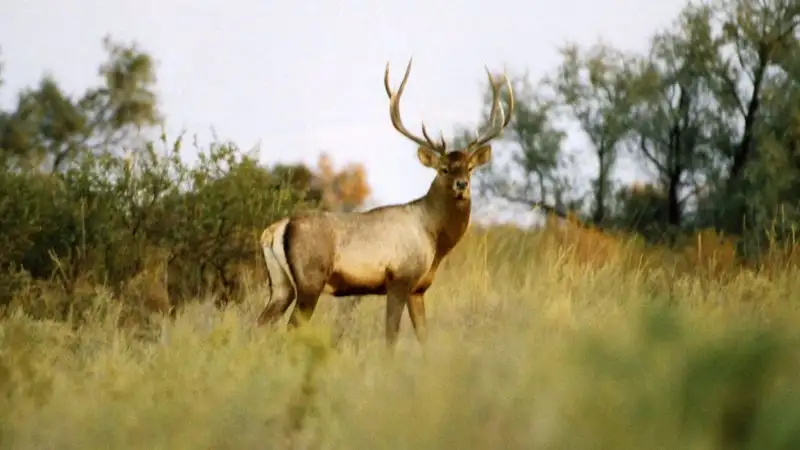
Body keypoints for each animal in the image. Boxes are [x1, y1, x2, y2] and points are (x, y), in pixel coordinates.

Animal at [256, 58, 514, 349]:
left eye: (470, 168)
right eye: (444, 169)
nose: (462, 185)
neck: (433, 238)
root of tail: (275, 230)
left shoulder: (418, 289)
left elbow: (424, 337)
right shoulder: (399, 279)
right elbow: (391, 335)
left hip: (281, 285)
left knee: (259, 324)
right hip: (310, 280)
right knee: (290, 328)